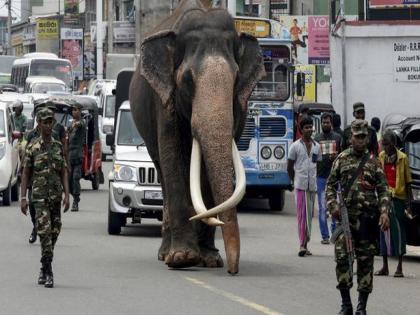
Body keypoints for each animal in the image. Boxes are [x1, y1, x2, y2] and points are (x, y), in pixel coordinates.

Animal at [130, 0, 264, 274]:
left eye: (236, 79)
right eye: (187, 79)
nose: (233, 270)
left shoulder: (240, 106)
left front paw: (210, 260)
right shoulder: (164, 100)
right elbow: (172, 157)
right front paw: (182, 258)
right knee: (162, 170)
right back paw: (165, 253)